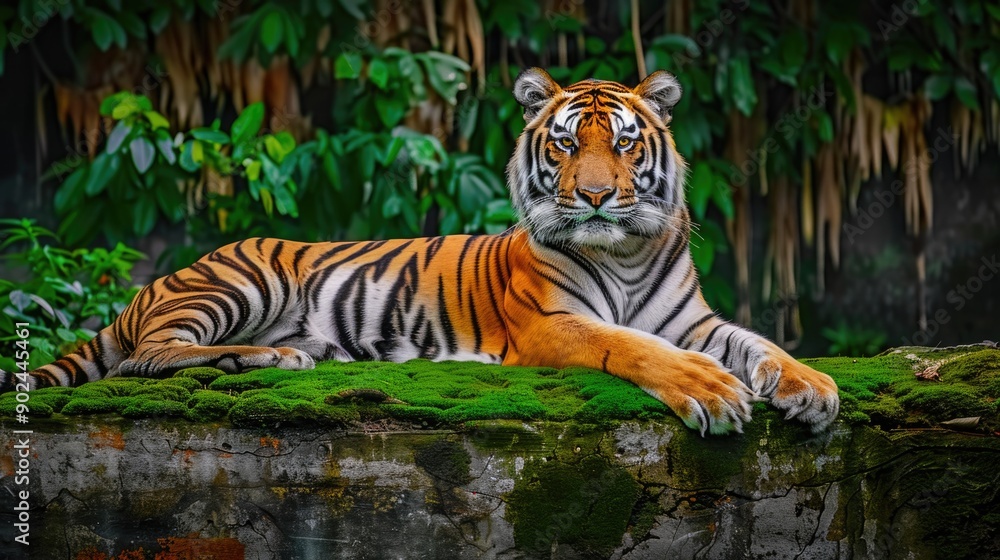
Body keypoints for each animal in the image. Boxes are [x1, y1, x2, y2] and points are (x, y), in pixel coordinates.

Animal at [0, 68, 839, 435]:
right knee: (147, 357)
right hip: (242, 280)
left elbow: (759, 343)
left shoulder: (693, 320)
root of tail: (152, 287)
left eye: (626, 145)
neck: (625, 254)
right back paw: (274, 357)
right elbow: (632, 347)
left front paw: (812, 388)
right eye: (568, 145)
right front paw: (711, 391)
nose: (598, 196)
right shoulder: (550, 325)